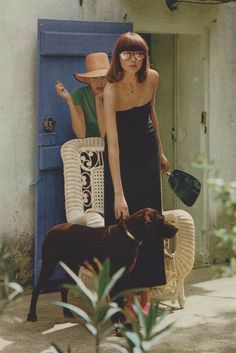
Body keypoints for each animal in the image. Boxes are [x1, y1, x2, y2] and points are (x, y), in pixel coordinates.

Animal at [27, 208, 177, 324]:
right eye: (162, 219)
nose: (176, 229)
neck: (127, 236)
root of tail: (50, 230)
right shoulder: (114, 276)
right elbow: (116, 301)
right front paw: (117, 323)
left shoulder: (124, 276)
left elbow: (120, 301)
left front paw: (122, 322)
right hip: (49, 264)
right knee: (36, 289)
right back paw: (32, 315)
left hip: (73, 267)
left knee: (63, 289)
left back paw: (68, 312)